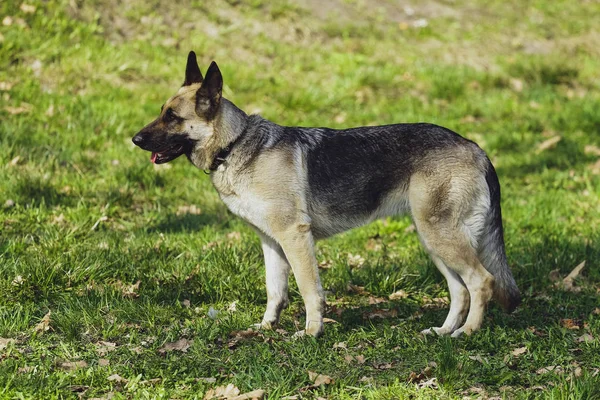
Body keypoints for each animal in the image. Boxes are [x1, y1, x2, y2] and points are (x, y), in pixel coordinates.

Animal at [132, 50, 520, 338]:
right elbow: (275, 291)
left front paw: (311, 332)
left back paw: (468, 332)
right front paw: (266, 328)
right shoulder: (271, 243)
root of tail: (476, 148)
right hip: (434, 241)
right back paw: (444, 331)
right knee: (460, 289)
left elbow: (308, 290)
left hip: (441, 237)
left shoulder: (295, 238)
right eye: (162, 112)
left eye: (172, 117)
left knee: (481, 281)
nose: (134, 139)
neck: (235, 144)